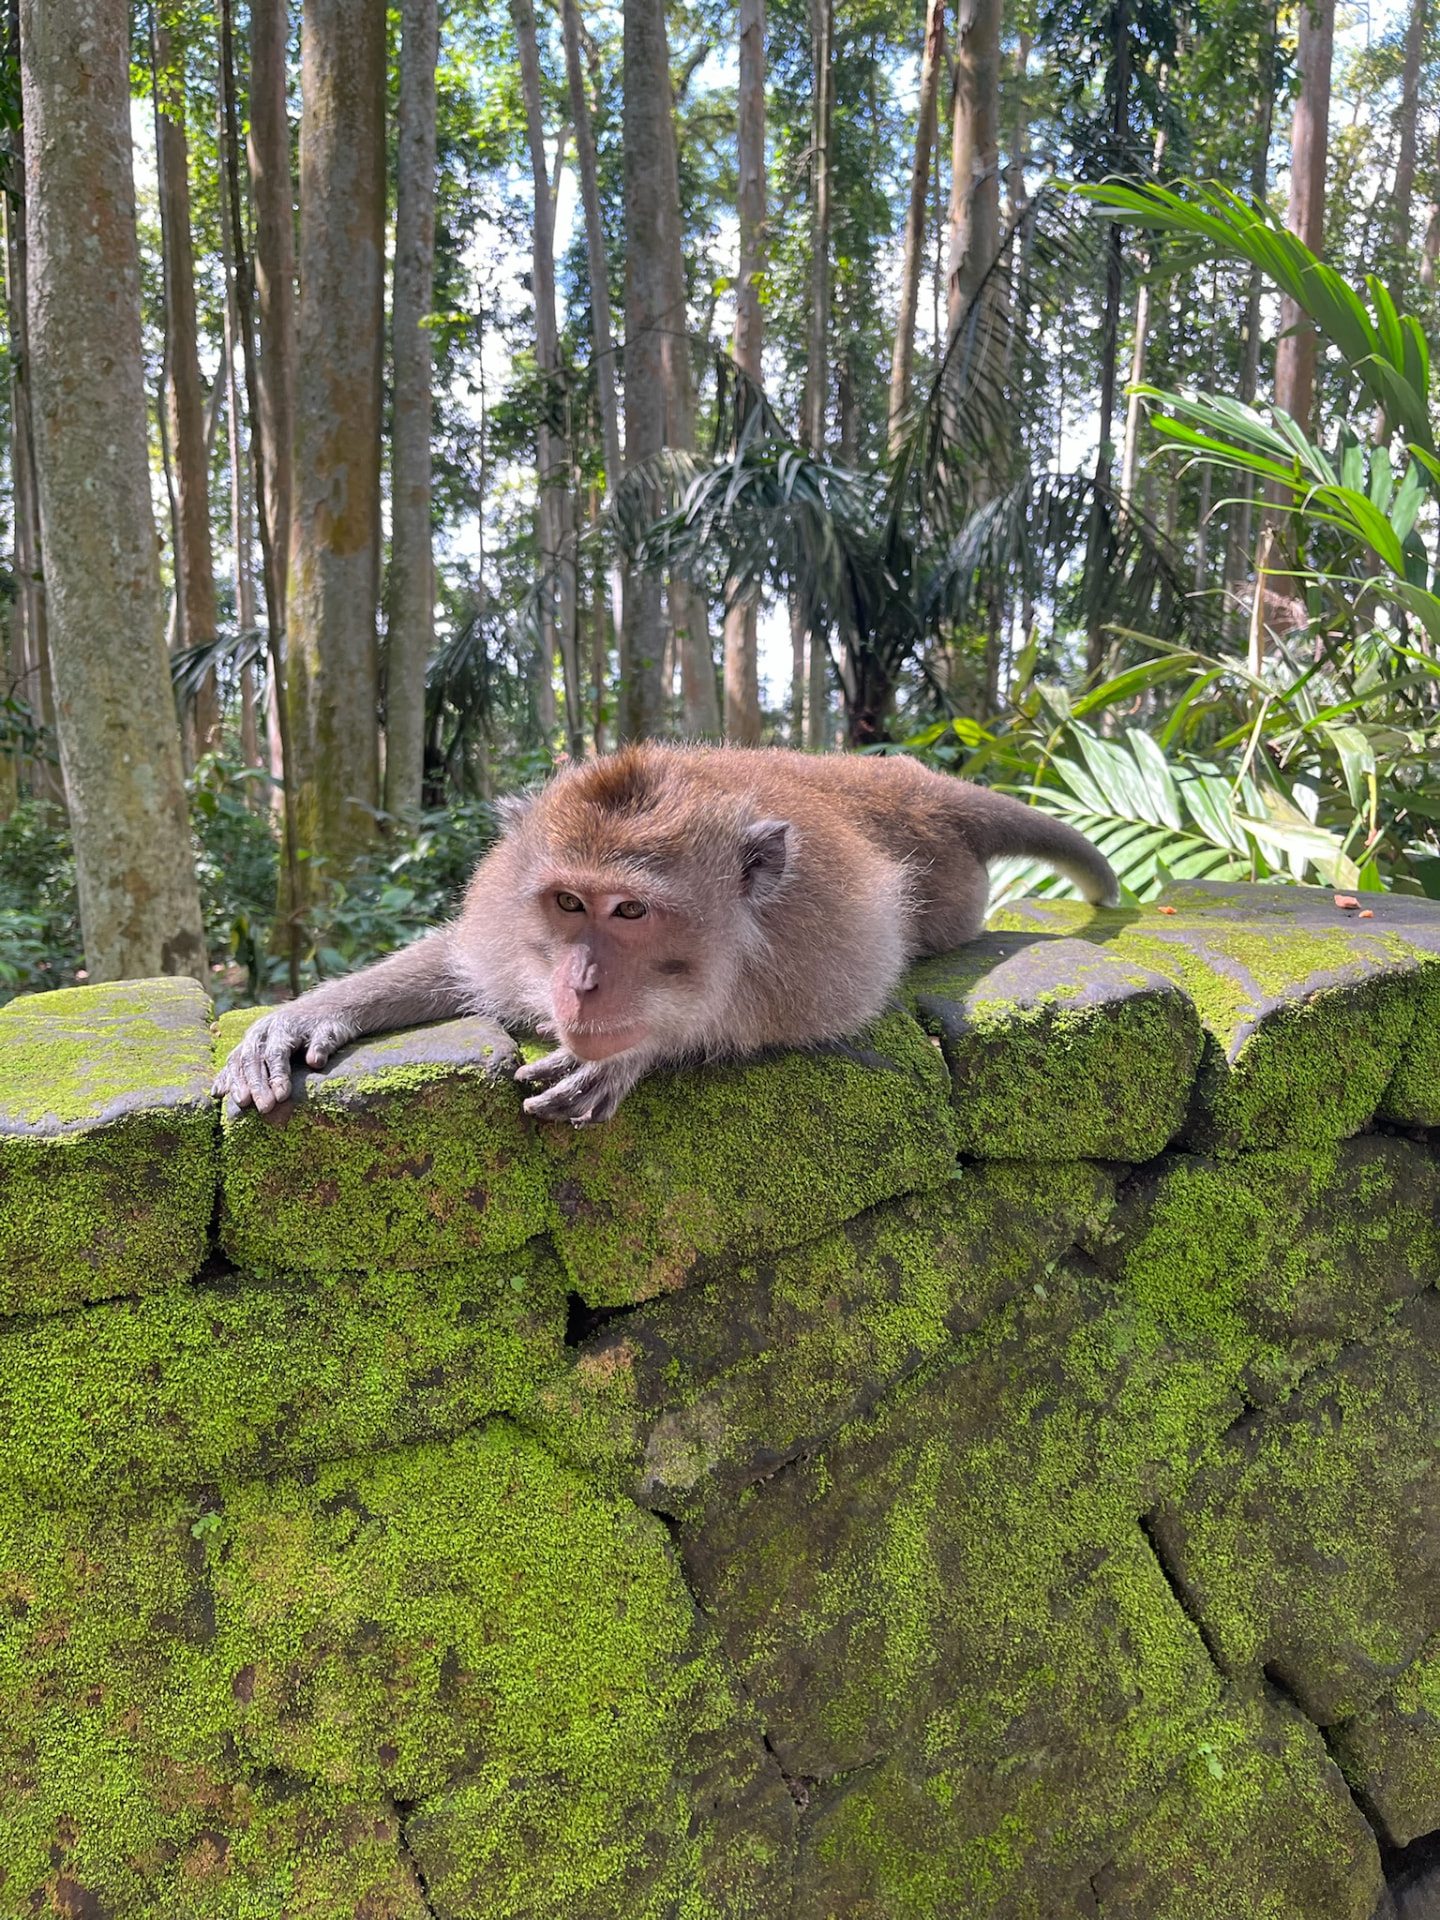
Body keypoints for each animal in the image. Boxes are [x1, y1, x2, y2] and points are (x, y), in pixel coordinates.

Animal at [214, 744, 1118, 1127]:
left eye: (631, 912)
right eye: (569, 903)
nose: (580, 984)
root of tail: (906, 781)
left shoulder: (815, 951)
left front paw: (631, 1056)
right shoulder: (508, 919)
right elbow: (457, 963)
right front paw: (298, 1018)